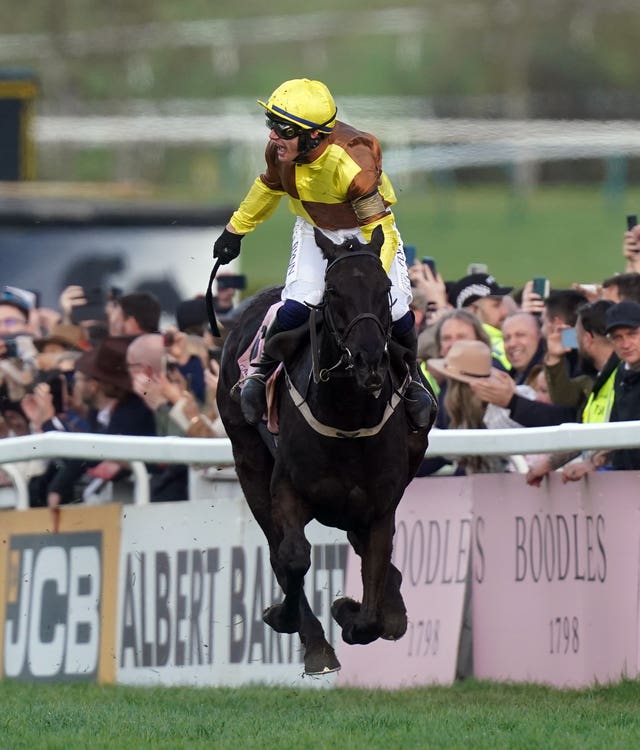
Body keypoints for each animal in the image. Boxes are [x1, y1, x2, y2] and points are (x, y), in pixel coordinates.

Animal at [218, 228, 432, 676]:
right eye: (333, 291)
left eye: (385, 290)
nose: (369, 360)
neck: (348, 418)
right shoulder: (287, 488)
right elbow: (293, 557)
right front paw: (301, 630)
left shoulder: (381, 505)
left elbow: (372, 588)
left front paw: (354, 613)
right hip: (248, 461)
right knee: (278, 550)